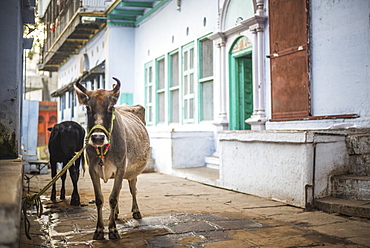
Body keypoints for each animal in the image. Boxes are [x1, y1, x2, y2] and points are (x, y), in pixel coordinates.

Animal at [74, 77, 150, 238]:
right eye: (88, 108)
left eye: (110, 108)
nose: (97, 137)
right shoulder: (92, 170)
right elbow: (100, 199)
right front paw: (99, 230)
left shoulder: (121, 168)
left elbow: (113, 198)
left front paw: (113, 230)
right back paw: (114, 214)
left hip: (132, 172)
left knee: (133, 189)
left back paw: (136, 211)